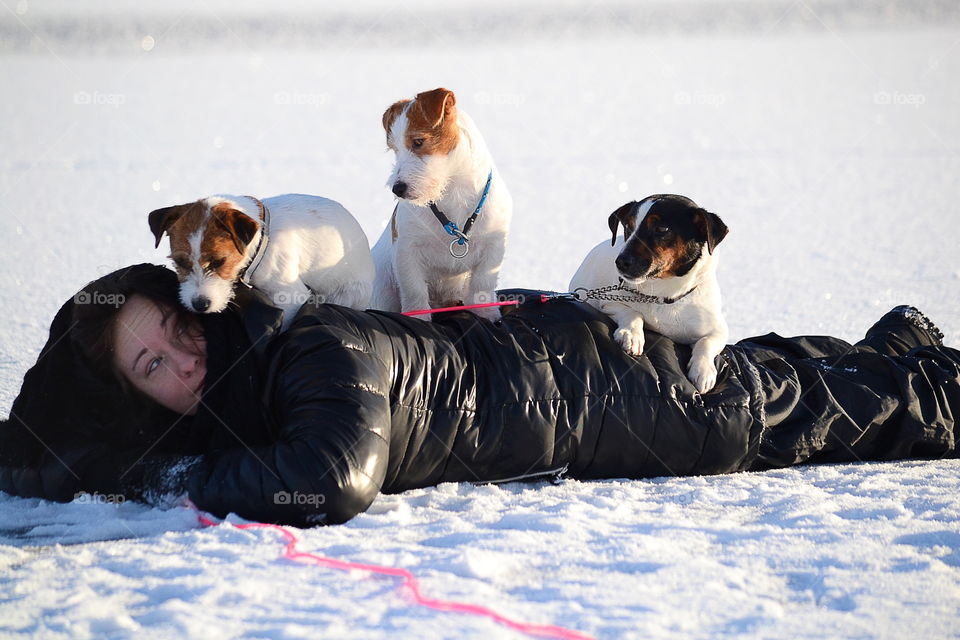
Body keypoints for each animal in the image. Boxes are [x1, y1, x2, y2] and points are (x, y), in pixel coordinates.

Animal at [149, 192, 376, 328]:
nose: (199, 304)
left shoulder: (291, 297)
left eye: (219, 262)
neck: (260, 241)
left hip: (345, 295)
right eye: (180, 262)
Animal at [372, 86, 512, 320]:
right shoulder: (407, 250)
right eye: (394, 149)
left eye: (418, 142)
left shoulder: (493, 246)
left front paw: (487, 315)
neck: (452, 192)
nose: (397, 189)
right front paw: (418, 318)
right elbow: (414, 290)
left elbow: (482, 284)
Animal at [568, 195, 728, 392]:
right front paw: (631, 335)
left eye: (662, 229)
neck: (662, 296)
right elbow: (632, 313)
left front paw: (703, 371)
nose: (620, 262)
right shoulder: (608, 302)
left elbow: (706, 343)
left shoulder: (718, 329)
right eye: (628, 226)